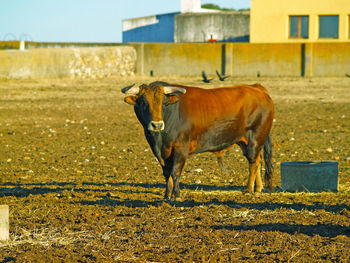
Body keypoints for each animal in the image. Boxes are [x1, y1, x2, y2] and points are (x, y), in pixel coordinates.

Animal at [121, 81, 274, 201]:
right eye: (143, 103)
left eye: (164, 103)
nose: (157, 125)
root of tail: (257, 88)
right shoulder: (160, 152)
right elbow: (167, 174)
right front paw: (167, 195)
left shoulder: (181, 149)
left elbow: (175, 172)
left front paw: (177, 195)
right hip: (246, 142)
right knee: (258, 160)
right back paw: (257, 188)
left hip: (255, 139)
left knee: (253, 162)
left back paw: (248, 189)